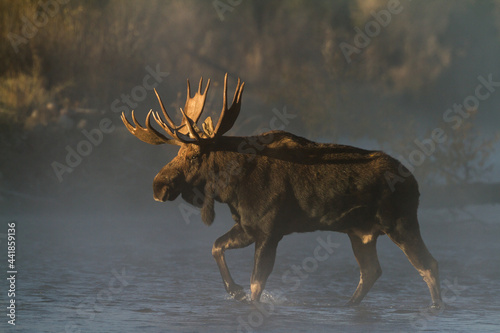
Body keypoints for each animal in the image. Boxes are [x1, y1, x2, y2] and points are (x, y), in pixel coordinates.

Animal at [121, 72, 442, 306]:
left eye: (194, 156)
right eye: (177, 153)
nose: (158, 185)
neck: (231, 187)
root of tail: (415, 182)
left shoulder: (269, 230)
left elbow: (257, 284)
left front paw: (245, 297)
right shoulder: (248, 226)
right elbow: (216, 247)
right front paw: (233, 290)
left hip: (400, 223)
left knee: (428, 265)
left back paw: (436, 308)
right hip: (360, 232)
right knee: (371, 271)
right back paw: (347, 306)